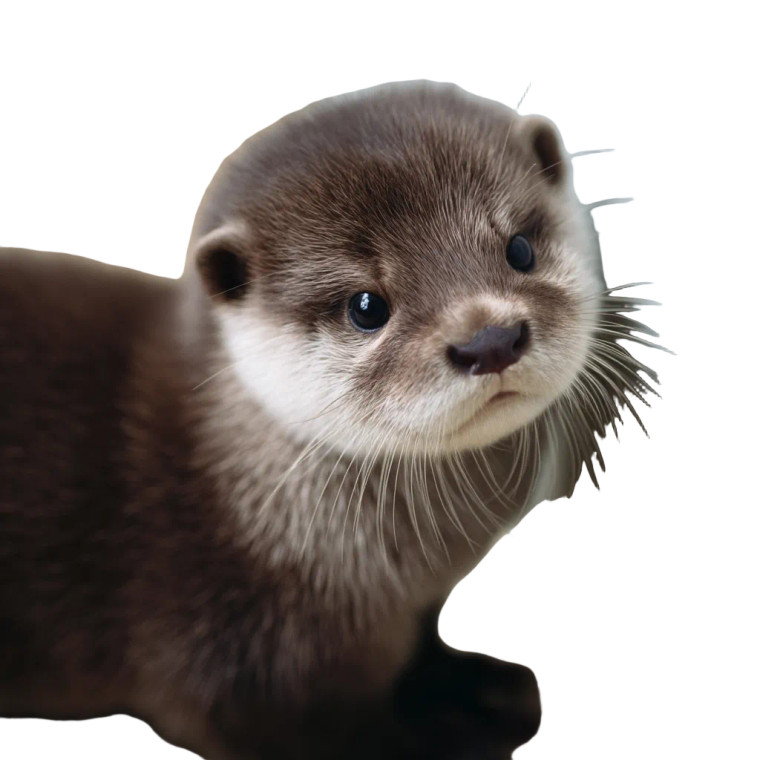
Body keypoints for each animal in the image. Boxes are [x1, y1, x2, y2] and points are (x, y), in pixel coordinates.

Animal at [0, 81, 659, 759]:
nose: (491, 340)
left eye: (519, 249)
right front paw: (449, 729)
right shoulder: (227, 652)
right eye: (366, 306)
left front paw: (473, 686)